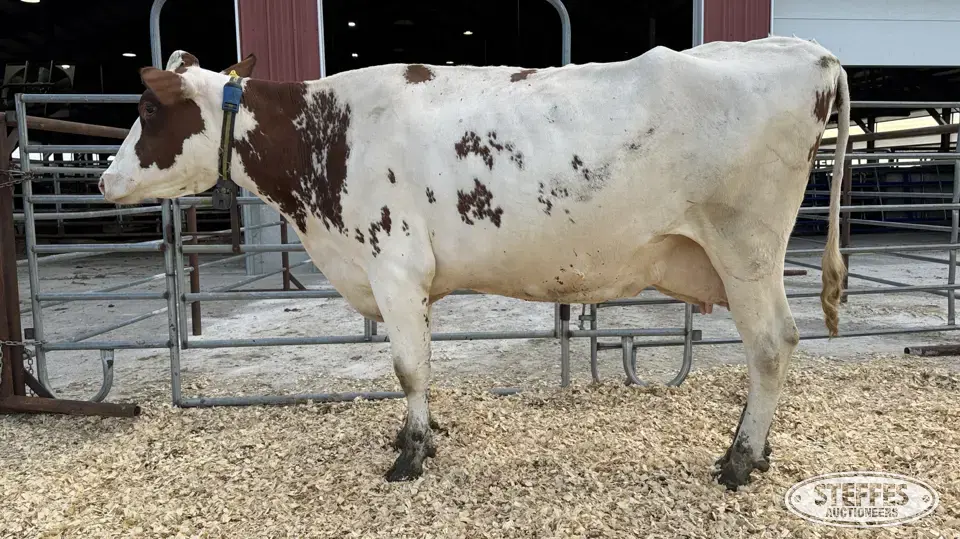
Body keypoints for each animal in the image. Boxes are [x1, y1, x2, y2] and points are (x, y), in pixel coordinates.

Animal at [99, 35, 850, 490]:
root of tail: (808, 53)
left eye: (147, 109)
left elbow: (406, 367)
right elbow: (423, 367)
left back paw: (740, 458)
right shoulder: (410, 282)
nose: (104, 180)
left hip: (746, 250)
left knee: (771, 345)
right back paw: (753, 451)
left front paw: (409, 457)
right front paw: (426, 433)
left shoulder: (392, 266)